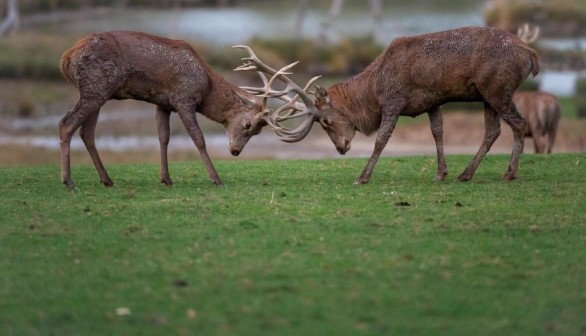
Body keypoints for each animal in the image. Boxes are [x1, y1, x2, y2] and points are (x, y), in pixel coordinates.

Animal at [58, 31, 270, 189]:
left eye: (258, 131)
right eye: (248, 124)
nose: (235, 151)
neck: (206, 86)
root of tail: (66, 58)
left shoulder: (163, 104)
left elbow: (163, 137)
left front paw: (166, 178)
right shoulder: (183, 98)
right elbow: (199, 139)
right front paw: (216, 179)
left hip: (98, 93)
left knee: (86, 133)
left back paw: (106, 180)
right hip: (95, 88)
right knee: (66, 123)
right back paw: (69, 181)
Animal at [237, 25, 540, 185]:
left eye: (325, 121)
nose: (341, 148)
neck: (373, 90)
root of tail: (530, 54)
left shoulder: (394, 100)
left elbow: (381, 139)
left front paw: (362, 176)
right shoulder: (433, 101)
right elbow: (438, 133)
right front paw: (441, 172)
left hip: (498, 88)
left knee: (519, 124)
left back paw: (509, 173)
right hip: (487, 95)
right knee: (493, 131)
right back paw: (466, 173)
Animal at [512, 23, 560, 154]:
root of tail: (548, 103)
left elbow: (522, 148)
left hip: (536, 123)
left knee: (542, 144)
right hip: (555, 124)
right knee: (550, 145)